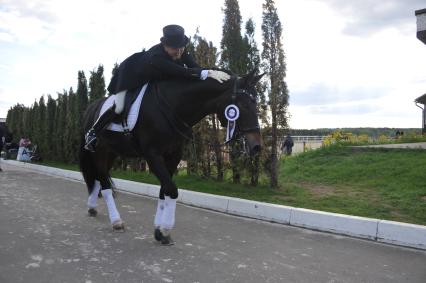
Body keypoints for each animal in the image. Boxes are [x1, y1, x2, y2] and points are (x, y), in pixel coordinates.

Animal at [78, 69, 262, 244]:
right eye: (243, 104)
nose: (256, 146)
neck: (171, 107)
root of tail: (91, 108)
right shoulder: (153, 155)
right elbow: (172, 190)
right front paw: (165, 229)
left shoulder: (173, 156)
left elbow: (164, 191)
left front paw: (159, 231)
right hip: (99, 153)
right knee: (104, 184)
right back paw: (116, 221)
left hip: (111, 153)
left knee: (98, 178)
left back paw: (92, 207)